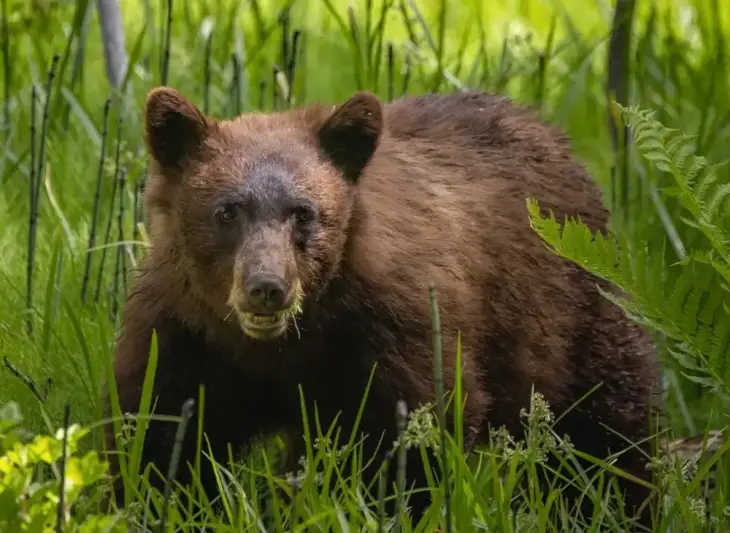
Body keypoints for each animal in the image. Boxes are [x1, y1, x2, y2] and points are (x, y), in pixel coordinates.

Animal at [102, 85, 660, 524]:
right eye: (227, 211)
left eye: (303, 213)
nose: (267, 286)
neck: (279, 348)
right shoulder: (182, 335)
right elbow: (160, 437)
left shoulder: (393, 331)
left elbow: (405, 439)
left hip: (571, 314)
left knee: (606, 431)